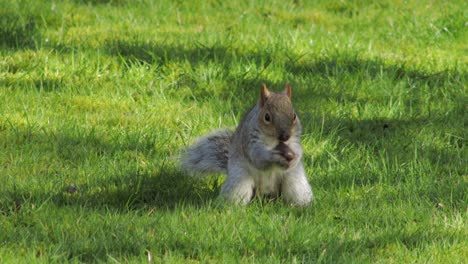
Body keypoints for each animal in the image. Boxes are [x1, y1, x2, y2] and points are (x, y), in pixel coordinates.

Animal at [181, 84, 312, 206]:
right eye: (267, 117)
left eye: (294, 116)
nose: (285, 136)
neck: (274, 141)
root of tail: (266, 195)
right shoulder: (250, 139)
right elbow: (257, 157)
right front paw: (273, 156)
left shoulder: (294, 139)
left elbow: (297, 149)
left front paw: (295, 157)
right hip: (240, 180)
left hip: (296, 182)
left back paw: (301, 206)